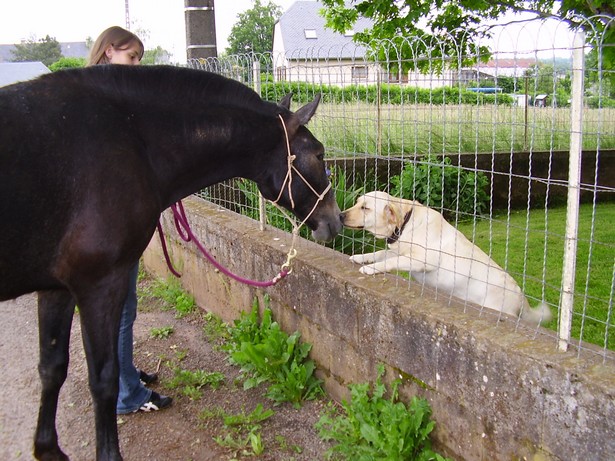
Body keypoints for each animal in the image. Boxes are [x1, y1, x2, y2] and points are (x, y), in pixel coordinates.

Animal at [0, 65, 342, 460]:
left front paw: (48, 449)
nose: (336, 220)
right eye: (318, 154)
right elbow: (103, 378)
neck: (130, 138)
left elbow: (52, 368)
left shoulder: (56, 287)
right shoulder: (99, 284)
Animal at [342, 190, 552, 324]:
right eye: (357, 202)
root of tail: (521, 297)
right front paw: (361, 257)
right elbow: (380, 254)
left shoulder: (422, 259)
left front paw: (371, 268)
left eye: (366, 208)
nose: (340, 215)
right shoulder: (398, 250)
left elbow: (391, 261)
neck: (405, 223)